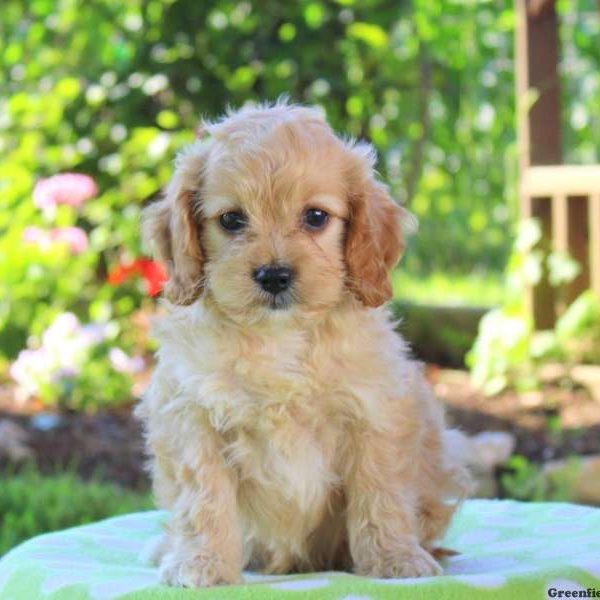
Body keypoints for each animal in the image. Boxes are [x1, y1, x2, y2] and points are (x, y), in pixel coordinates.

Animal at [138, 102, 472, 584]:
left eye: (316, 217)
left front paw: (394, 559)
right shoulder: (192, 418)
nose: (274, 275)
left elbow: (381, 494)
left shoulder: (374, 415)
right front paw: (203, 564)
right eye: (231, 220)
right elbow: (203, 498)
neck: (279, 337)